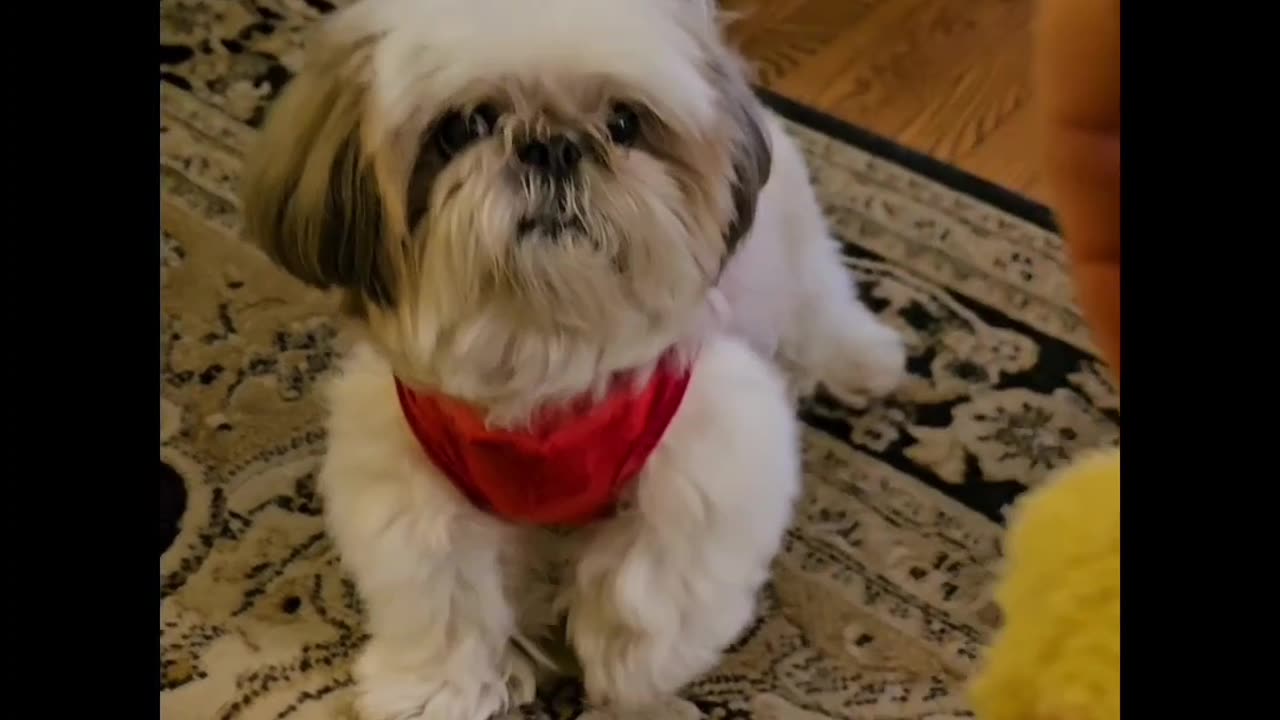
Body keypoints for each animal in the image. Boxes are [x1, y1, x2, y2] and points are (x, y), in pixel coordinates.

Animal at [238, 0, 901, 712]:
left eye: (623, 122)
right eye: (466, 126)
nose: (553, 146)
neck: (544, 349)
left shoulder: (711, 453)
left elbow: (654, 586)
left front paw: (625, 674)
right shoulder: (412, 480)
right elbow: (444, 599)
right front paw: (435, 690)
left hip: (794, 257)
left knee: (820, 302)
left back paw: (865, 359)